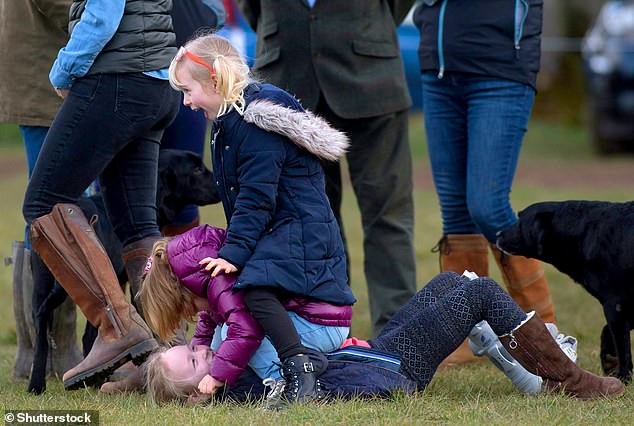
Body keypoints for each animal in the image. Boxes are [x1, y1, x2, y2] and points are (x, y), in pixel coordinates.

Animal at [496, 200, 632, 382]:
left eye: (520, 220)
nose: (498, 234)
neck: (584, 234)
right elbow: (609, 333)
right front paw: (609, 362)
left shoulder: (615, 304)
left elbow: (622, 346)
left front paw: (623, 377)